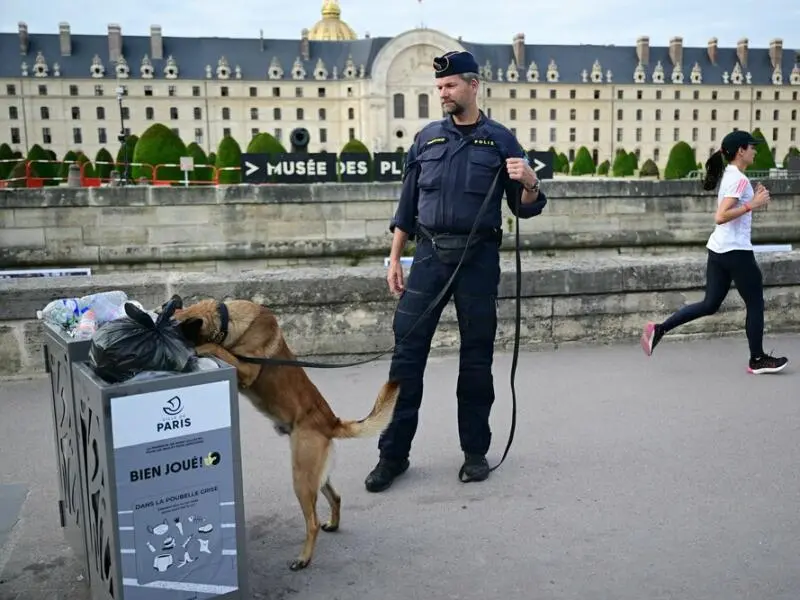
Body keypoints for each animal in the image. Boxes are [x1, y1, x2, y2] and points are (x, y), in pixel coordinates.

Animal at [175, 300, 400, 572]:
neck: (228, 320)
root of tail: (330, 421)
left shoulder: (247, 369)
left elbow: (216, 347)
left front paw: (200, 348)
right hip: (313, 474)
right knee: (335, 497)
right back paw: (333, 524)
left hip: (301, 476)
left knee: (312, 523)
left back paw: (304, 558)